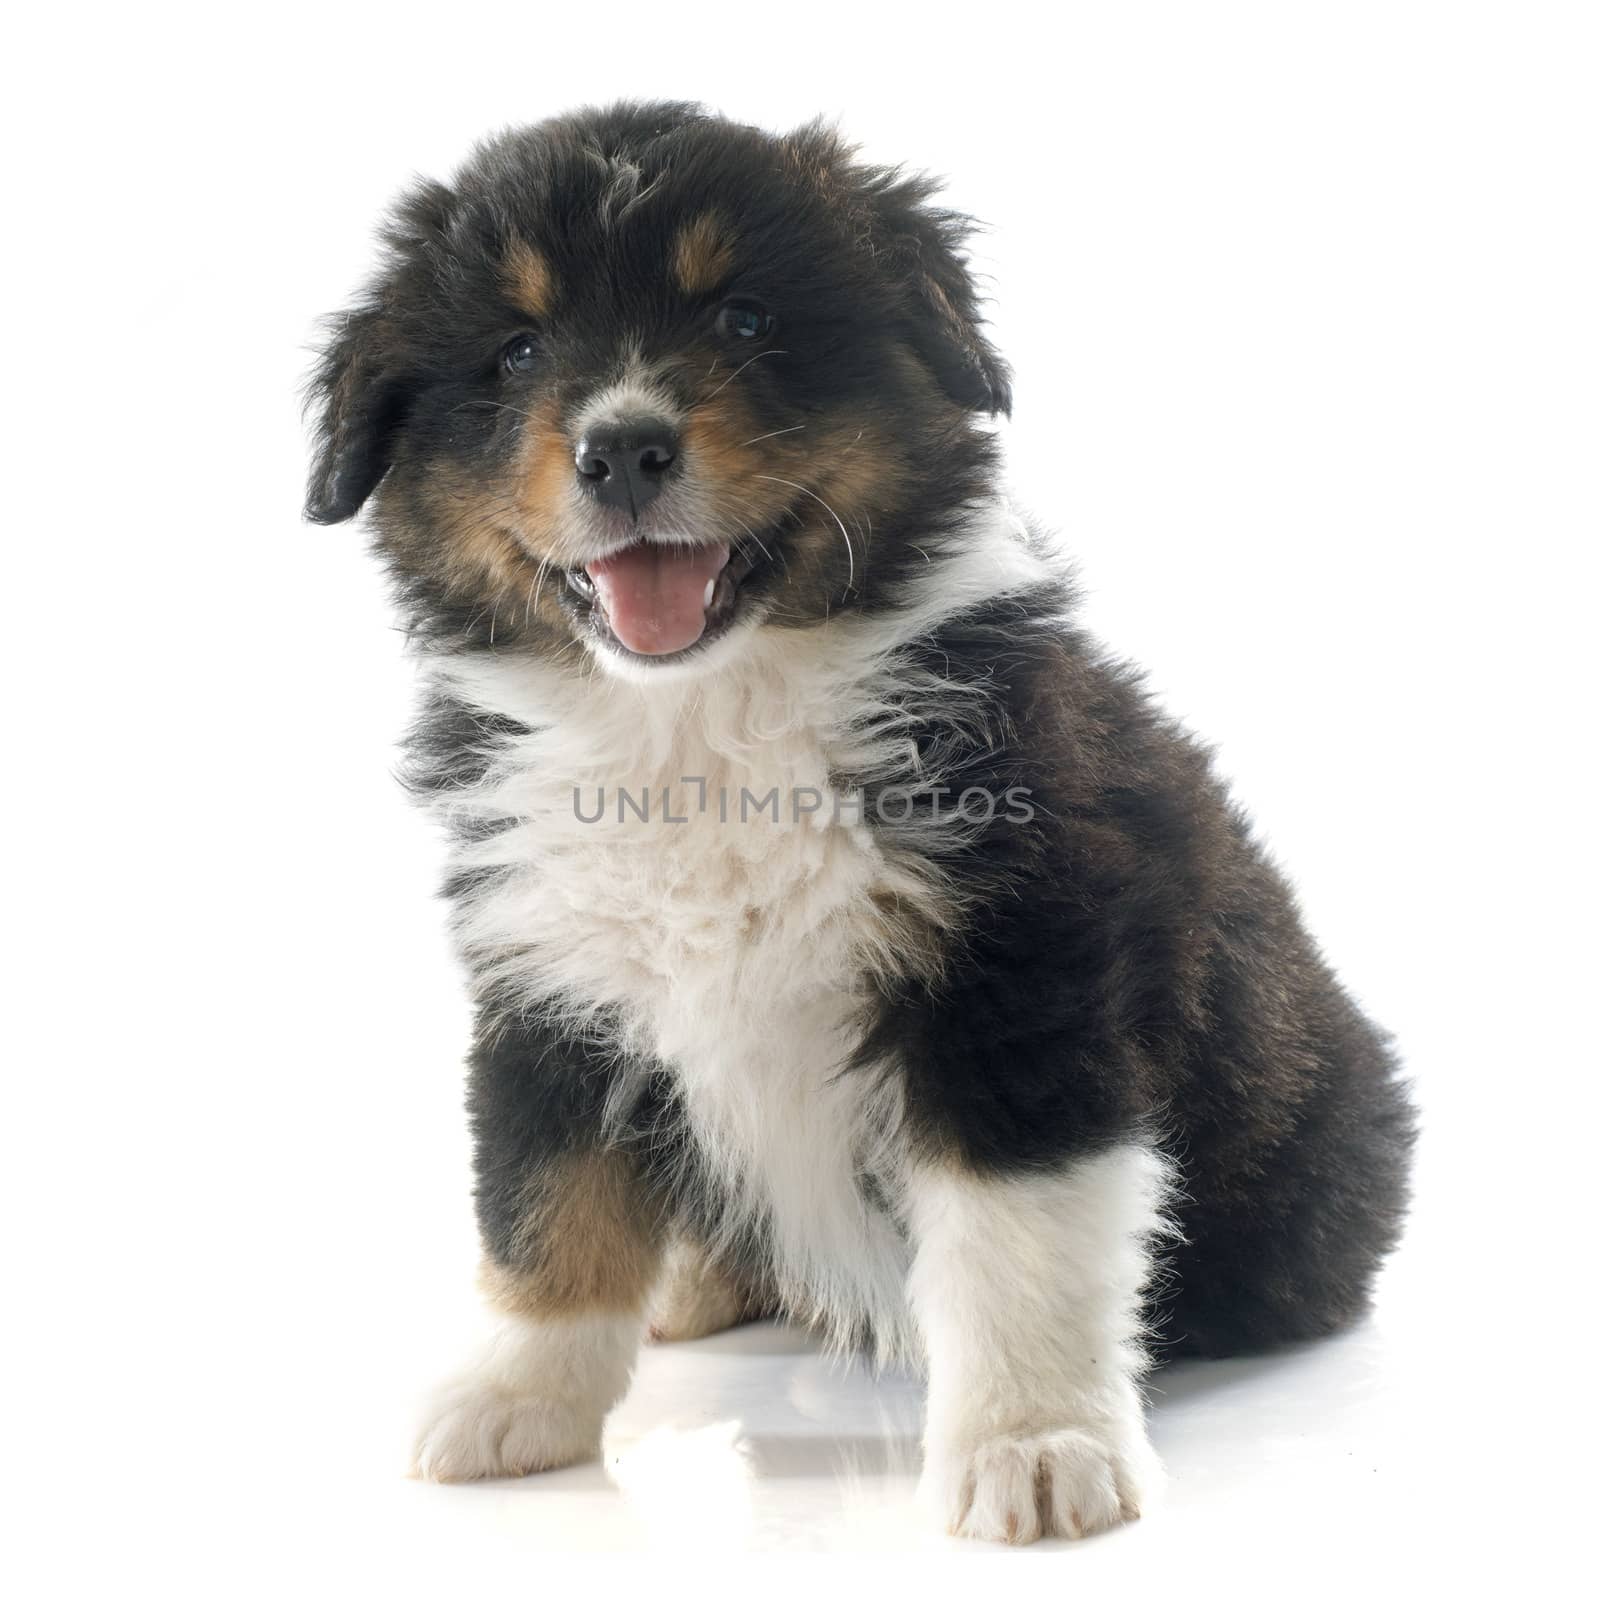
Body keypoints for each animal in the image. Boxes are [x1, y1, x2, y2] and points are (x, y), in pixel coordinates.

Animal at [308, 103, 1414, 1548]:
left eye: (744, 318)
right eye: (518, 351)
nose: (623, 449)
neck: (701, 728)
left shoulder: (1013, 967)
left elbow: (1015, 1237)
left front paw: (1034, 1445)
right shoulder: (550, 983)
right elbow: (545, 1206)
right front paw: (512, 1401)